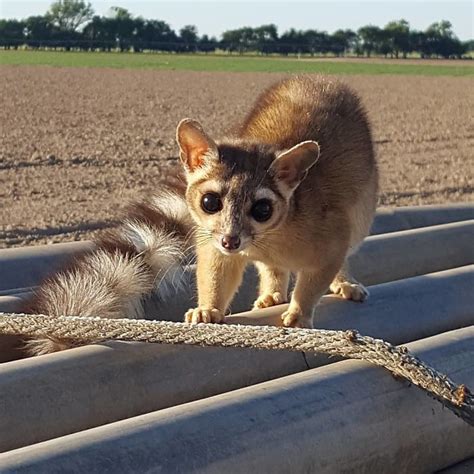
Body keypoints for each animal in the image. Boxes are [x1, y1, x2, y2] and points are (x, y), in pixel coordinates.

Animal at [21, 75, 378, 356]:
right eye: (210, 201)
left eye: (262, 209)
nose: (231, 240)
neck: (267, 238)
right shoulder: (214, 240)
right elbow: (216, 268)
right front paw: (210, 307)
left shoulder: (328, 228)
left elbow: (324, 267)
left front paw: (302, 309)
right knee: (269, 266)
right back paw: (272, 289)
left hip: (364, 201)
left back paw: (341, 281)